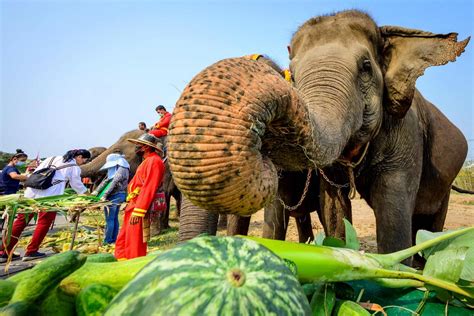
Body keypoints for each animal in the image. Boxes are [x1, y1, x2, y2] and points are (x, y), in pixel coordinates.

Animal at [168, 9, 468, 256]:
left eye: (366, 67)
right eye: (293, 74)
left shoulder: (405, 134)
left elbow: (392, 214)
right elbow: (330, 208)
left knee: (429, 224)